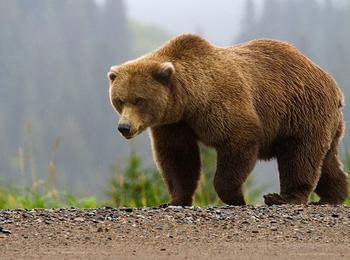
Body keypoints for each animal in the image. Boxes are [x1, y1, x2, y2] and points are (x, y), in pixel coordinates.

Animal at [108, 34, 348, 205]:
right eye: (119, 100)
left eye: (139, 100)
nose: (124, 127)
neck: (189, 101)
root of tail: (334, 85)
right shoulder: (174, 123)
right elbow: (178, 157)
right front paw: (175, 200)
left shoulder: (221, 103)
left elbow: (238, 140)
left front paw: (236, 197)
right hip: (322, 121)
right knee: (326, 159)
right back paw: (334, 195)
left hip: (301, 111)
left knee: (299, 155)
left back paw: (284, 198)